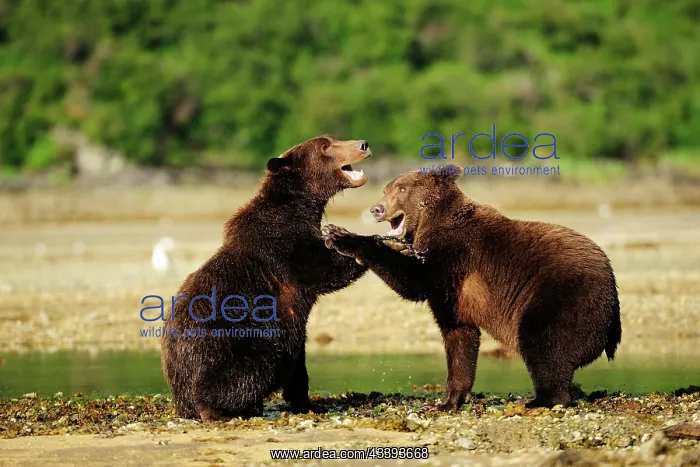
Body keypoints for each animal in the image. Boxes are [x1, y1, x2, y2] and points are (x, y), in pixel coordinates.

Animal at [161, 135, 372, 421]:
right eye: (326, 146)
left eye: (333, 138)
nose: (362, 144)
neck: (301, 205)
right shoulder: (281, 244)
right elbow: (322, 270)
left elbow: (299, 365)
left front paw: (307, 402)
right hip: (229, 345)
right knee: (254, 366)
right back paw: (226, 409)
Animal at [322, 165, 622, 410]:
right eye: (386, 188)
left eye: (402, 188)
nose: (376, 209)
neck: (432, 222)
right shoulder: (455, 294)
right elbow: (459, 336)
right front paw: (449, 400)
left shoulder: (455, 257)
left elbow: (414, 282)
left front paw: (341, 235)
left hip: (560, 297)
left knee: (542, 342)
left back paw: (541, 399)